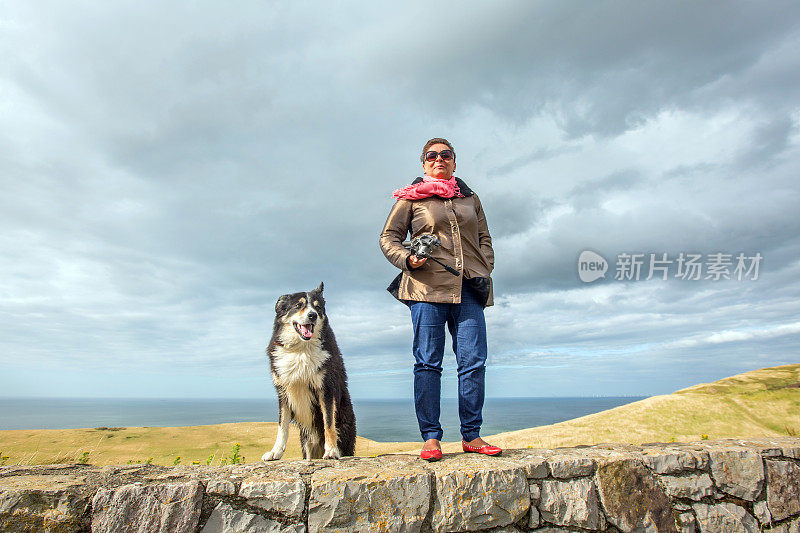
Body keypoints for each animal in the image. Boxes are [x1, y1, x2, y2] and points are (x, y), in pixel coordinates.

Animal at [260, 280, 354, 460]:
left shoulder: (326, 388)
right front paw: (275, 452)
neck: (301, 349)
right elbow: (282, 427)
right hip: (307, 443)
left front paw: (331, 451)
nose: (312, 315)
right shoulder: (283, 392)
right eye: (298, 305)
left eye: (318, 308)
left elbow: (328, 423)